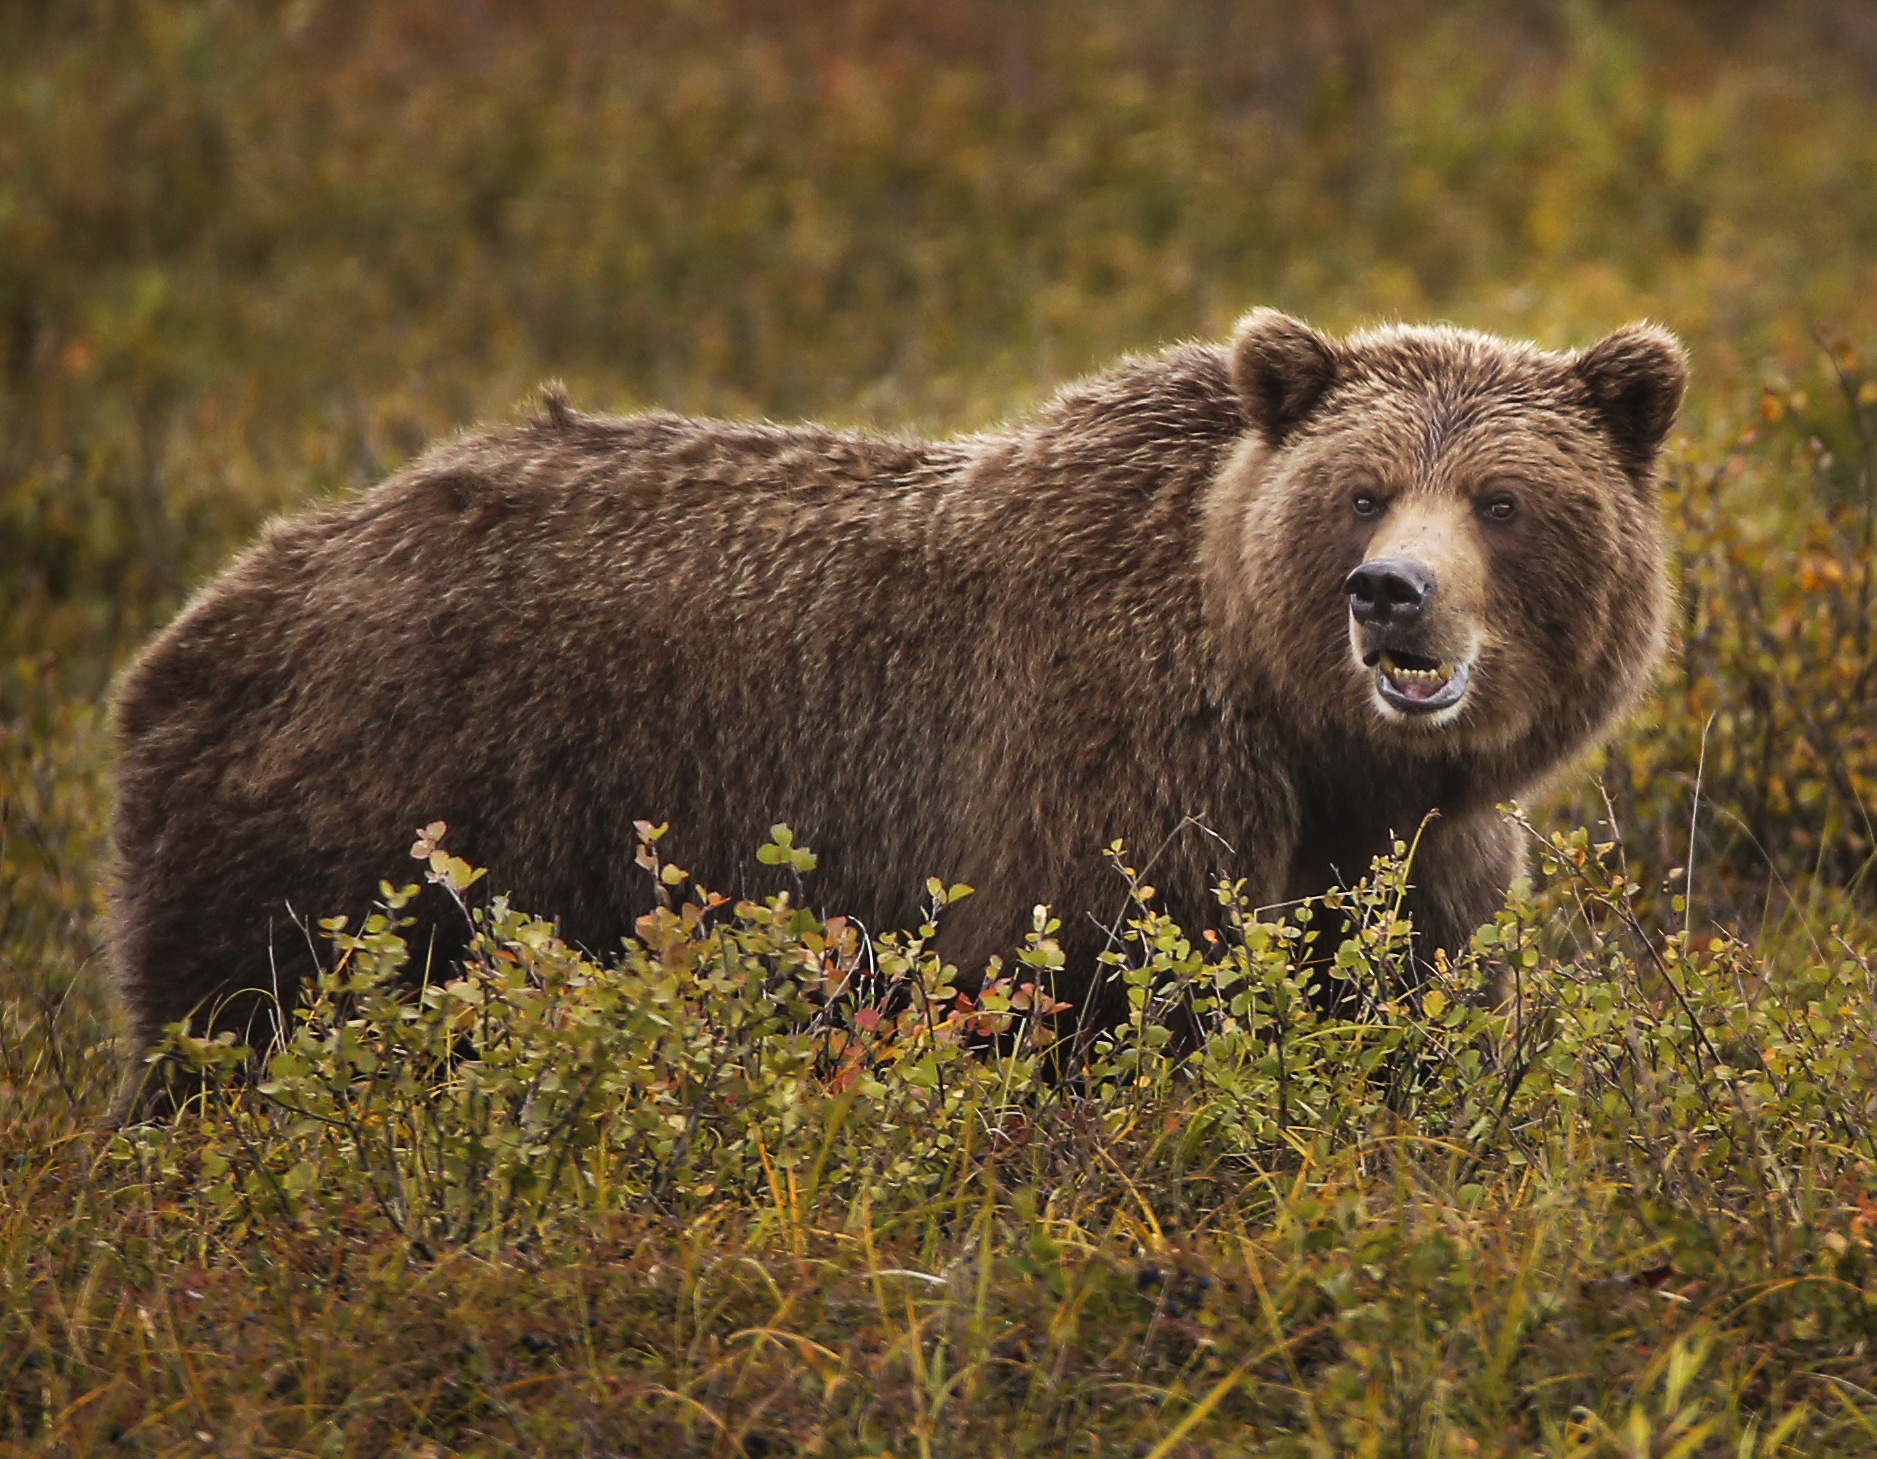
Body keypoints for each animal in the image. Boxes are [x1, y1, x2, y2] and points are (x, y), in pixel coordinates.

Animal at [105, 309, 1686, 1121]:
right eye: (1360, 489)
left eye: (1501, 497)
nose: (1390, 594)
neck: (1307, 730)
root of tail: (219, 599)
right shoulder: (1106, 778)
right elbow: (1099, 1000)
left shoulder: (1420, 855)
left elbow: (1391, 999)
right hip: (369, 810)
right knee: (244, 1023)